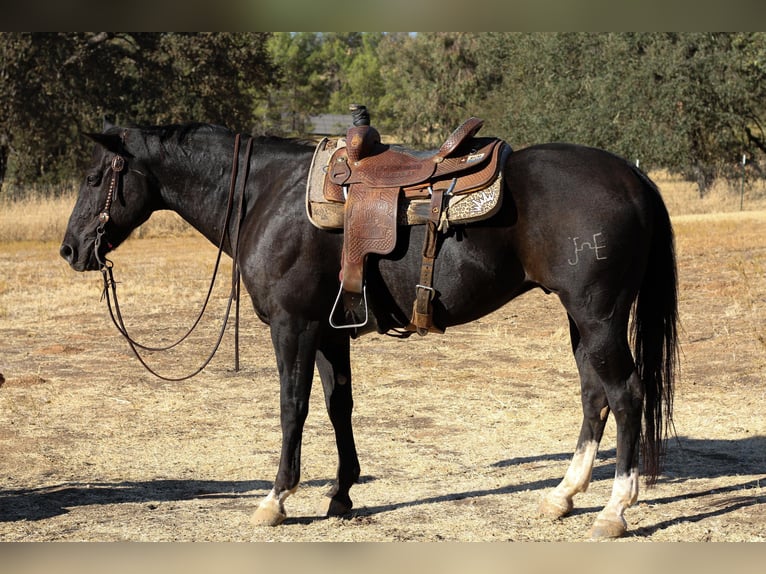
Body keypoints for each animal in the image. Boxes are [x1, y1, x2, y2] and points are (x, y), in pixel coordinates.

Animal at [60, 120, 678, 539]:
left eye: (92, 177)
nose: (69, 250)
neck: (268, 195)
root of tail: (634, 177)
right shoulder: (330, 330)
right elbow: (340, 405)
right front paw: (341, 495)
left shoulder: (293, 326)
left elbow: (293, 406)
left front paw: (276, 499)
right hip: (581, 321)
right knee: (595, 396)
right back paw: (562, 496)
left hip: (598, 317)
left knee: (626, 395)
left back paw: (615, 509)